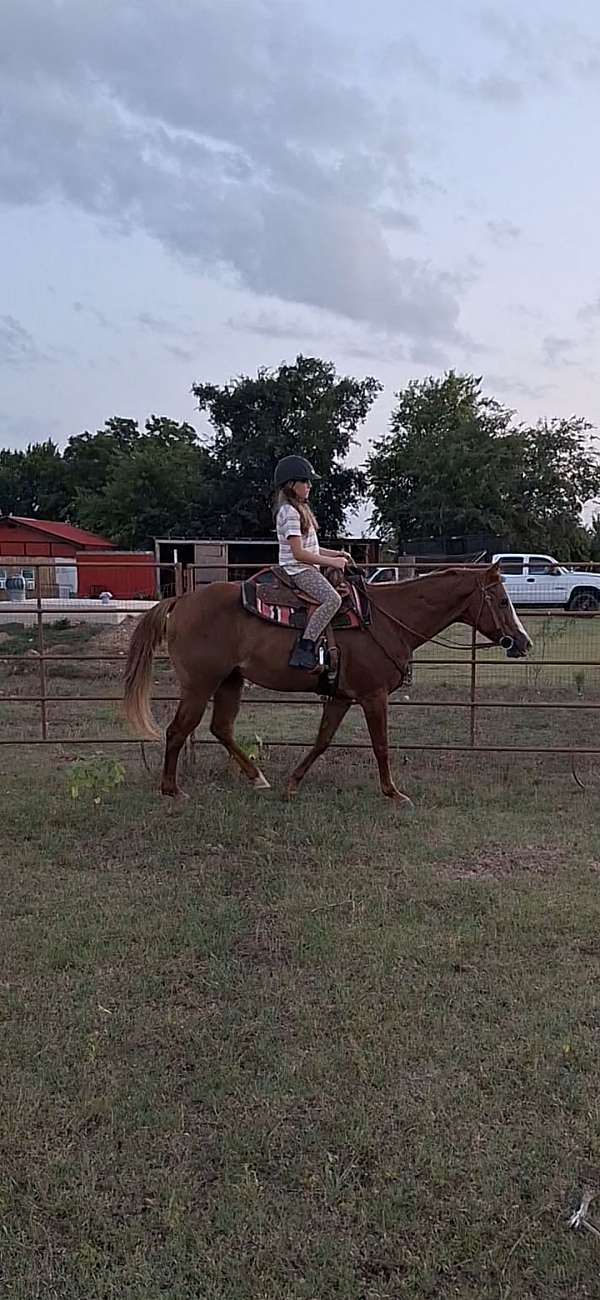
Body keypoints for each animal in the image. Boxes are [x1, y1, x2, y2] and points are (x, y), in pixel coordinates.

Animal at [123, 562, 531, 807]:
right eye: (501, 599)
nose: (523, 642)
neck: (387, 620)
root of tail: (180, 600)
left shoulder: (341, 697)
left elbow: (322, 741)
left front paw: (292, 784)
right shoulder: (373, 696)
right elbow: (381, 746)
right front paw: (394, 793)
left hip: (229, 682)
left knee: (221, 728)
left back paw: (258, 779)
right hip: (199, 684)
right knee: (177, 730)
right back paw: (172, 790)